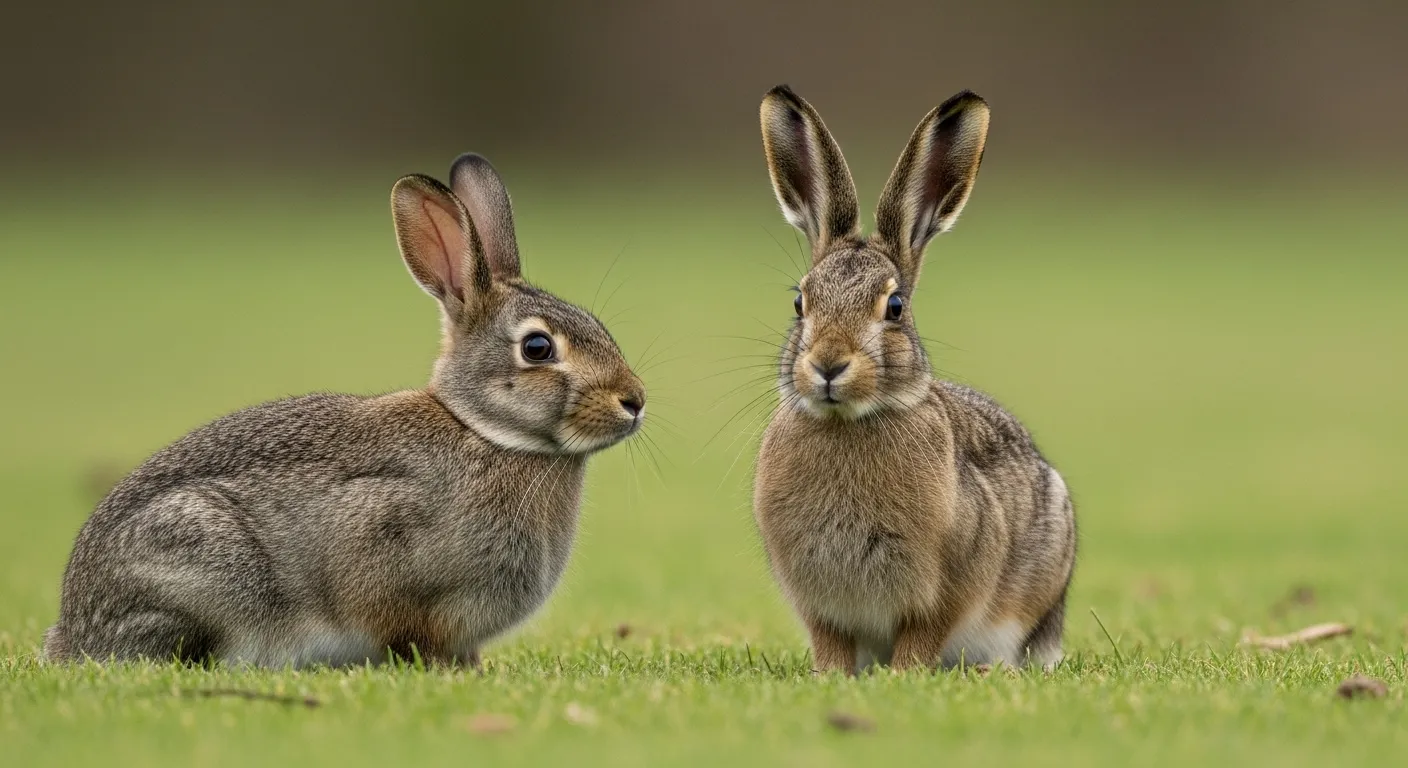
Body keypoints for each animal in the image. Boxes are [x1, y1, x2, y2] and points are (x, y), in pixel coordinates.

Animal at [43, 154, 646, 668]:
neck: (485, 432)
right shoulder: (381, 538)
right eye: (538, 348)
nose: (635, 400)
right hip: (201, 564)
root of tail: (73, 627)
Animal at [751, 85, 1076, 675]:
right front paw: (830, 676)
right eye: (799, 303)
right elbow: (831, 642)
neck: (848, 423)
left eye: (895, 306)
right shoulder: (820, 604)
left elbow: (921, 637)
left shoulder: (943, 590)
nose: (828, 364)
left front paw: (904, 674)